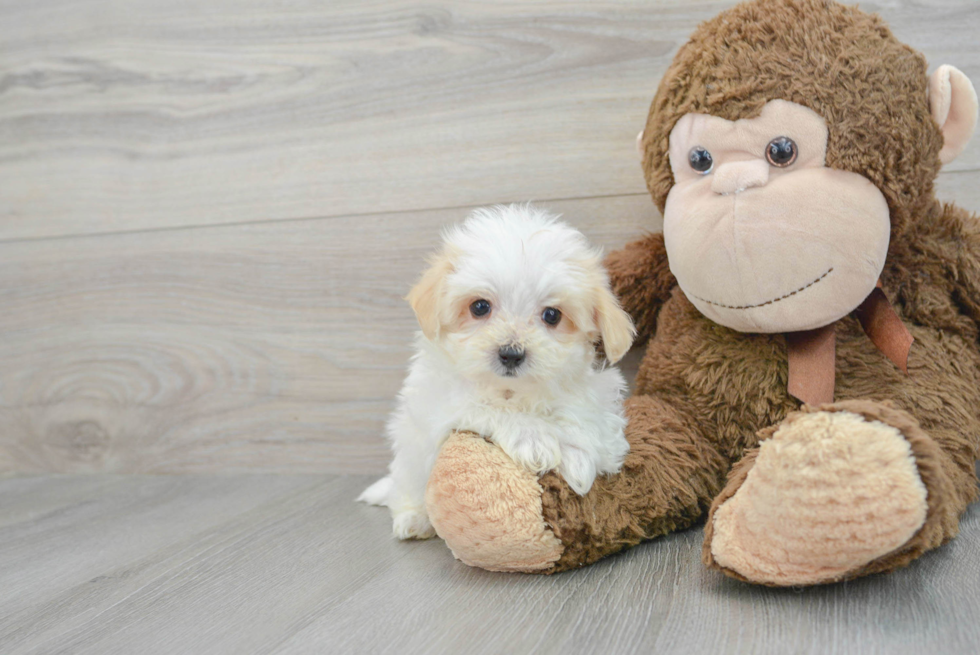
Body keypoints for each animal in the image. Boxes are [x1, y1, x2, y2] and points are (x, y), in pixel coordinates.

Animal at [358, 204, 636, 540]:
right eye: (479, 307)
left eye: (552, 315)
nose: (511, 354)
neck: (514, 390)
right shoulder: (442, 403)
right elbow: (488, 407)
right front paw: (535, 438)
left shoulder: (594, 393)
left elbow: (589, 420)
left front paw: (579, 455)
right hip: (409, 455)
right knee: (406, 487)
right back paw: (414, 518)